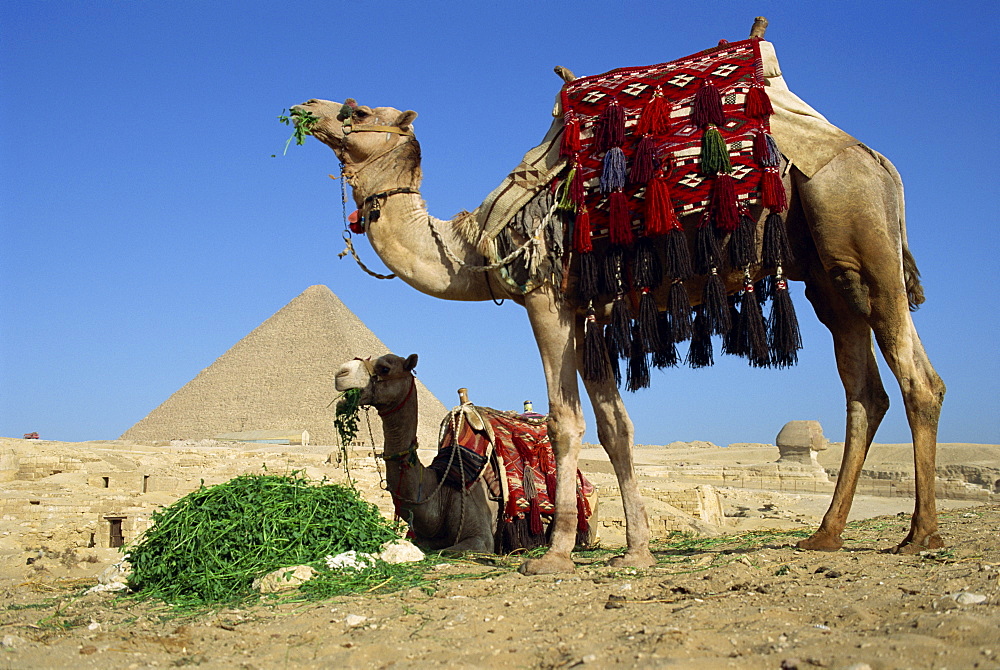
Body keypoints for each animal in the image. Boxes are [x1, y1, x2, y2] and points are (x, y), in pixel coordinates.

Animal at [290, 22, 944, 576]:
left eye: (357, 110)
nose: (302, 107)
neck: (475, 243)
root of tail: (875, 158)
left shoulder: (549, 300)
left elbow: (565, 421)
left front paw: (554, 556)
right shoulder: (591, 316)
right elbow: (615, 426)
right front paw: (637, 550)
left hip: (861, 228)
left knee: (919, 379)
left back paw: (921, 535)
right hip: (830, 276)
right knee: (864, 392)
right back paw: (825, 535)